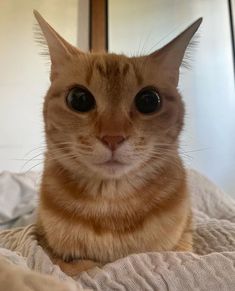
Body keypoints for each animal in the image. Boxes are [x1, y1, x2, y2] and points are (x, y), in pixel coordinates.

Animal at [34, 10, 202, 276]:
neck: (112, 208)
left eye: (149, 100)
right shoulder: (40, 241)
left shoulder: (185, 240)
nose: (112, 137)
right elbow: (73, 266)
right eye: (79, 99)